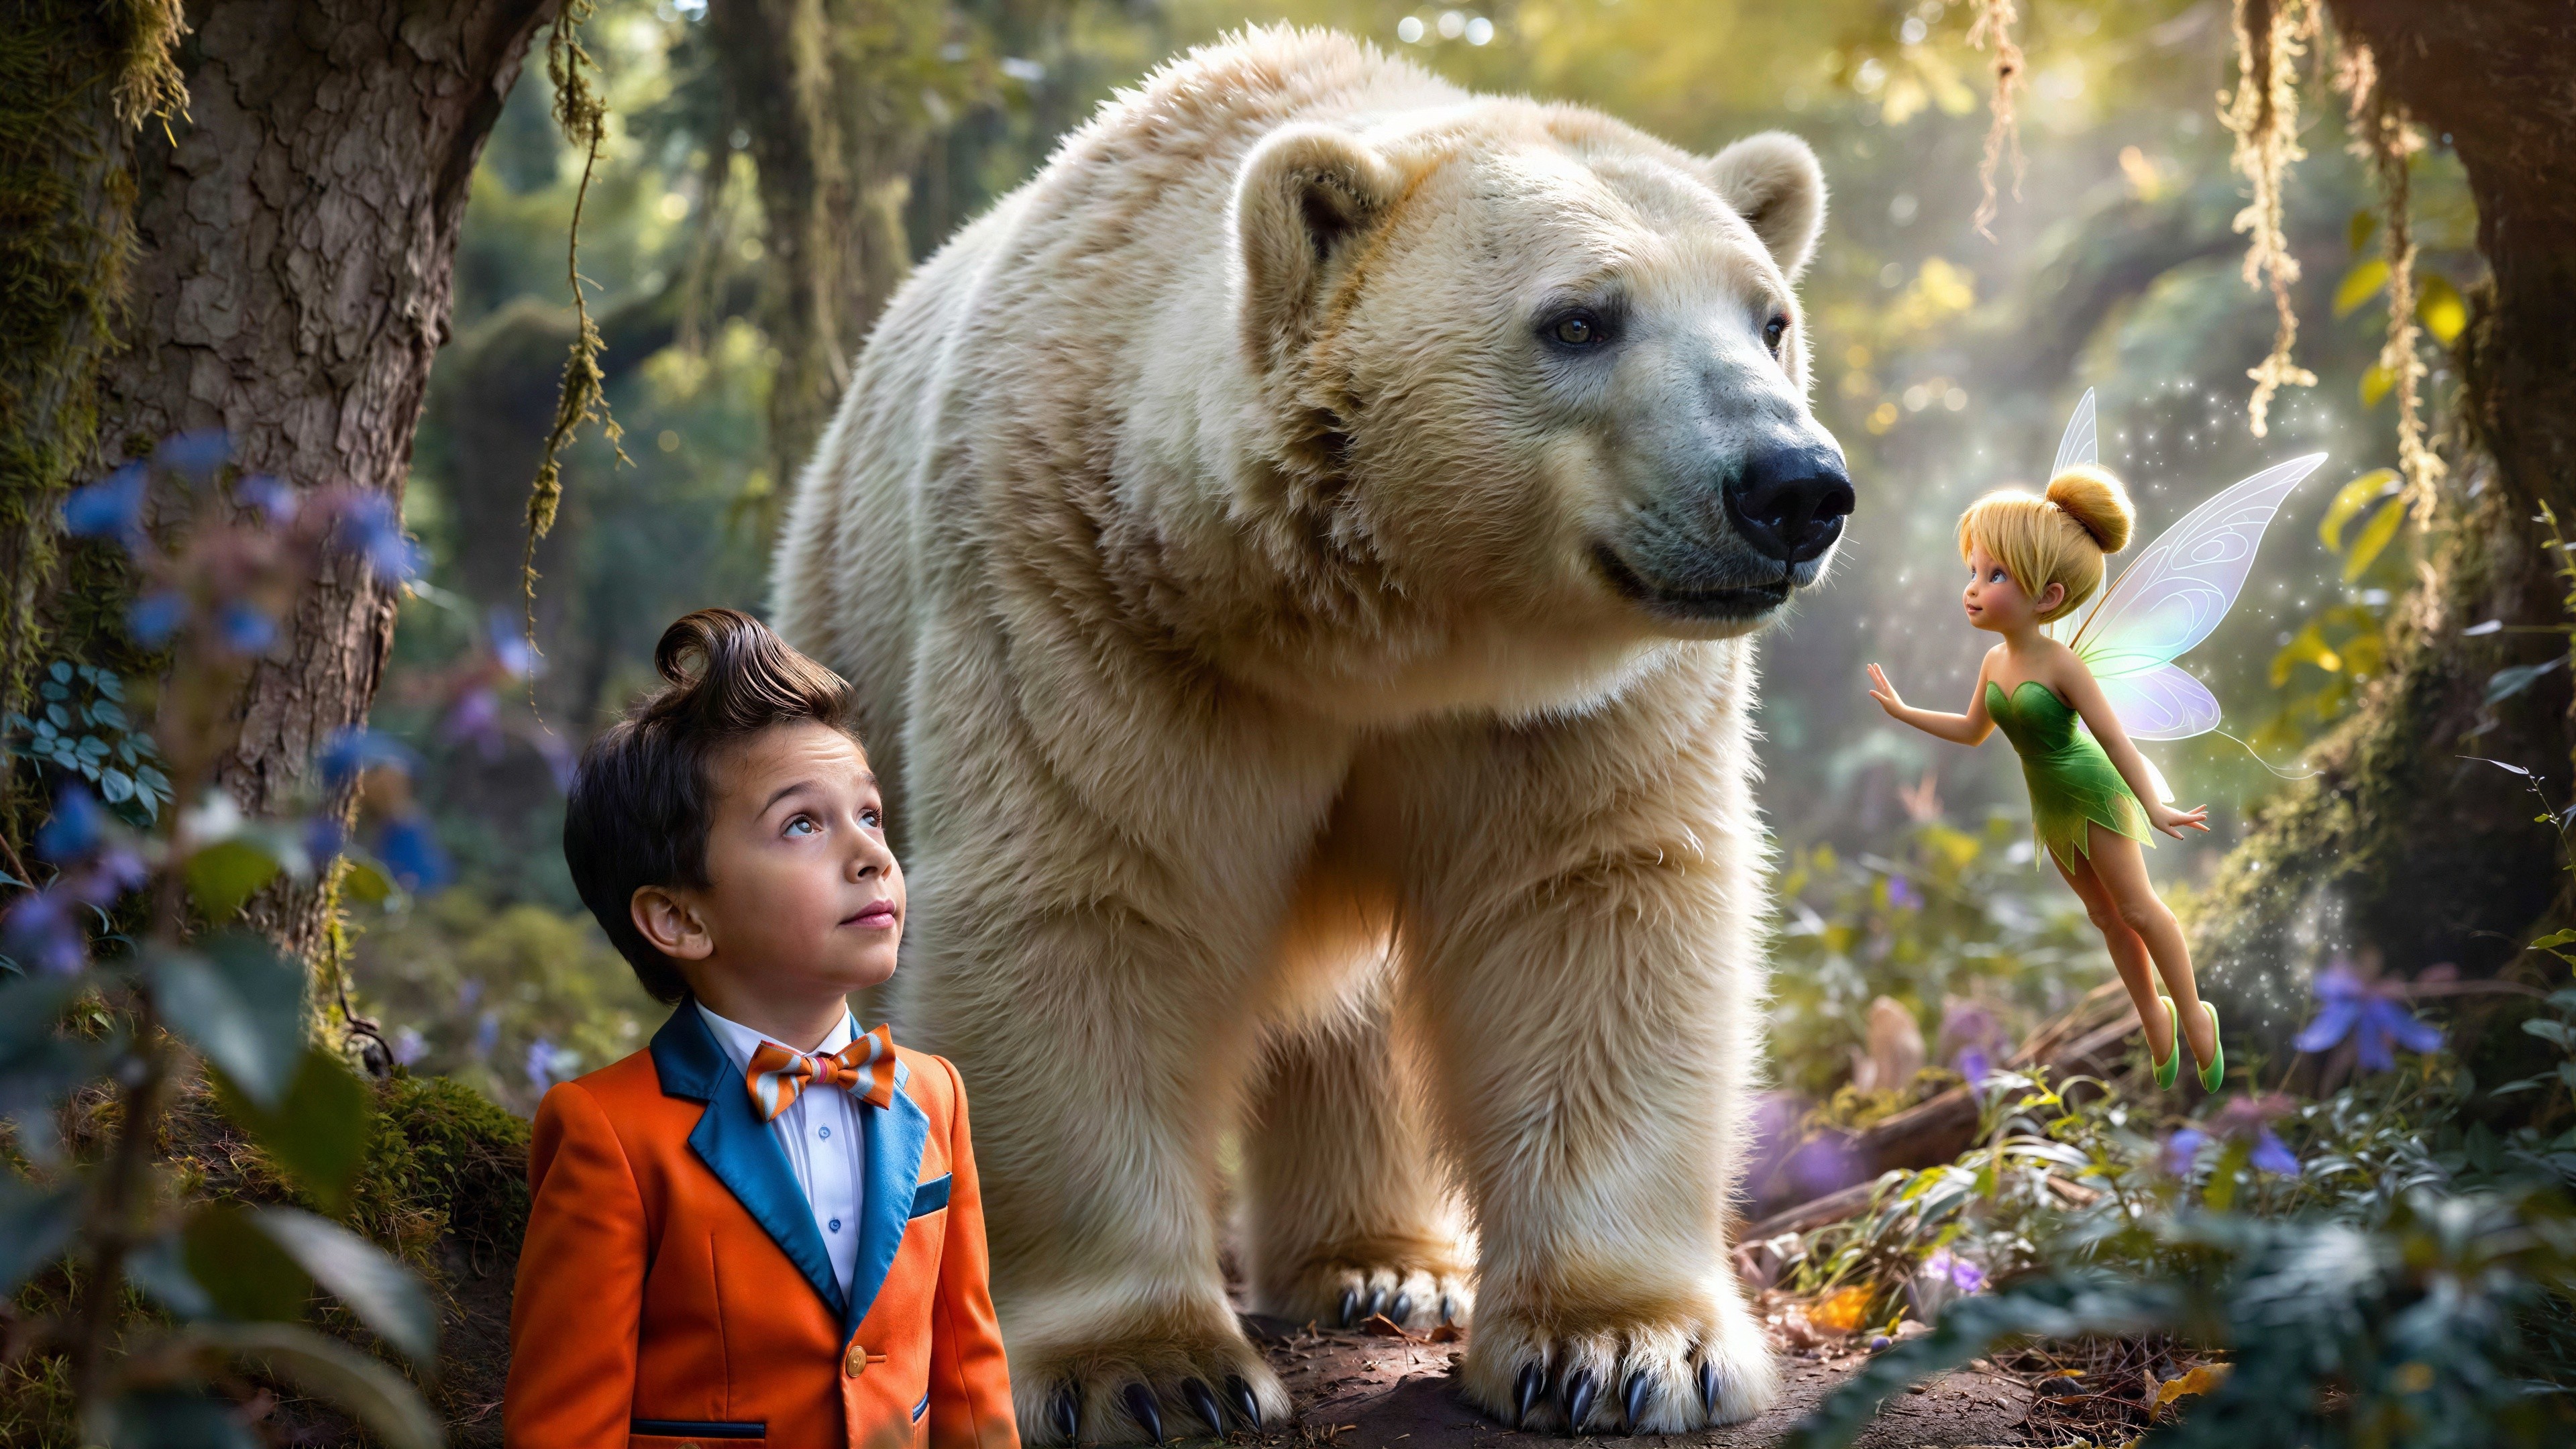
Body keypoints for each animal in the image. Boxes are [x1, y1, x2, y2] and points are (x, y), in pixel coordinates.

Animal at [772, 25, 1852, 1443]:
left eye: (1770, 319)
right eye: (1579, 320)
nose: (1794, 488)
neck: (1364, 631)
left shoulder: (1572, 704)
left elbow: (1590, 907)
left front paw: (1626, 1349)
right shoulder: (1080, 603)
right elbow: (1085, 905)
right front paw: (1152, 1369)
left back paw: (1388, 1267)